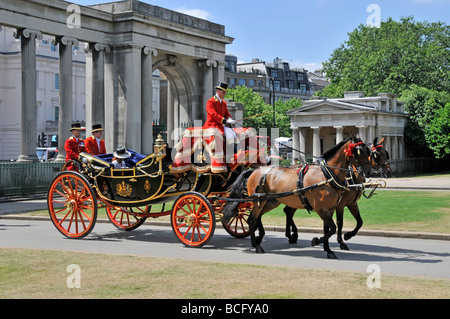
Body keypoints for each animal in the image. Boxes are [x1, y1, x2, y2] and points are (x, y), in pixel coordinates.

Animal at [223, 139, 370, 258]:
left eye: (369, 152)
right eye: (359, 152)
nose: (368, 172)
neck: (326, 174)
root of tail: (255, 171)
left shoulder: (331, 208)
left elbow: (329, 229)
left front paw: (328, 250)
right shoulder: (322, 208)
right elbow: (333, 228)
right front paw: (317, 241)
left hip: (268, 201)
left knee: (257, 218)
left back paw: (260, 239)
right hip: (259, 201)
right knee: (252, 220)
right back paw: (258, 245)